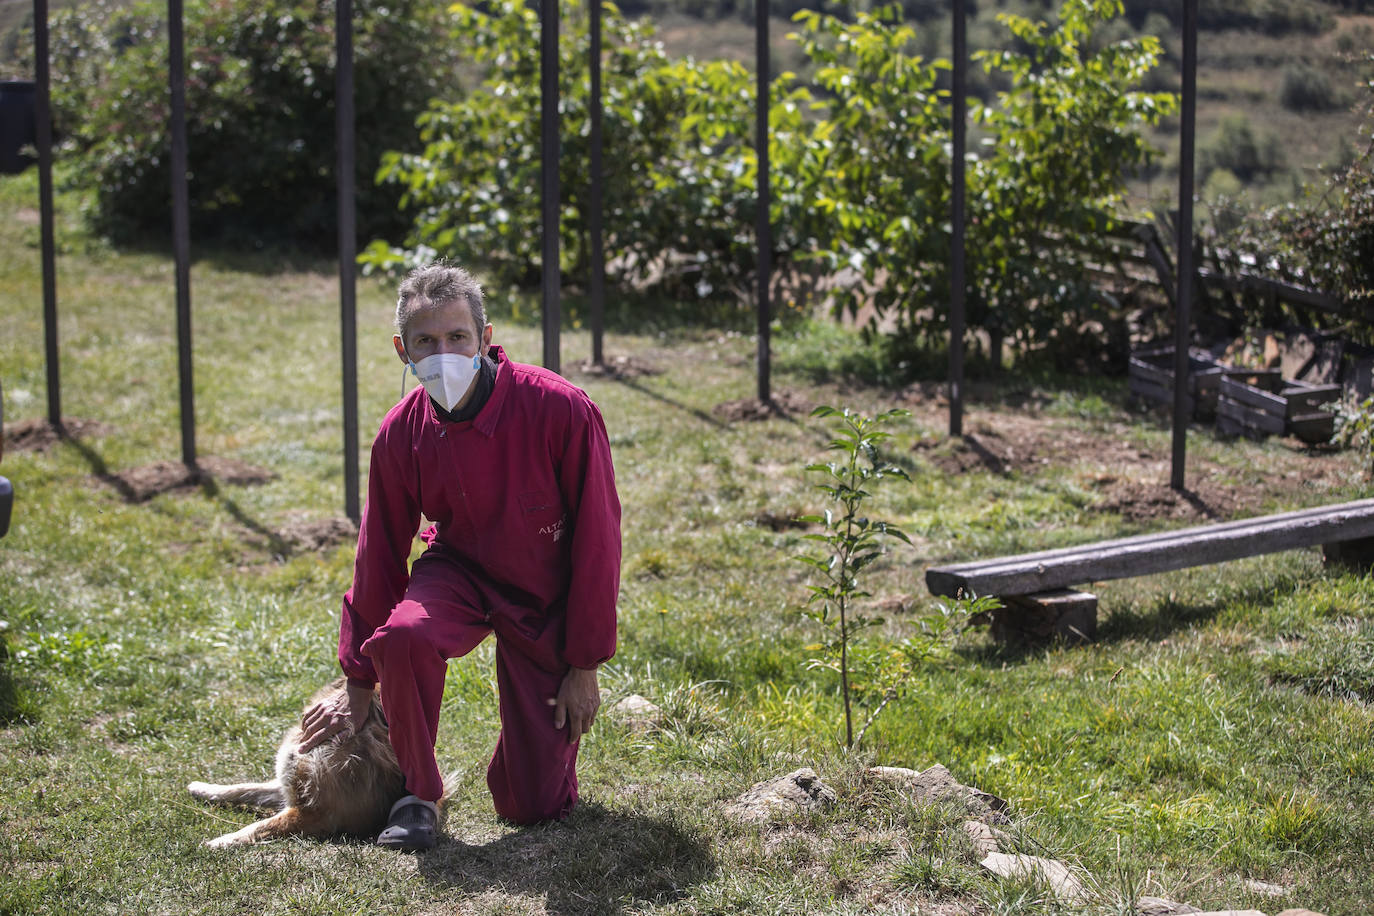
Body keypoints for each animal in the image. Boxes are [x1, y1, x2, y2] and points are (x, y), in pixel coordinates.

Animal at [188, 678, 403, 851]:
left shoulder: (316, 813)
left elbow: (260, 826)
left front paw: (220, 841)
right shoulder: (292, 786)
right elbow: (244, 788)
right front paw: (201, 788)